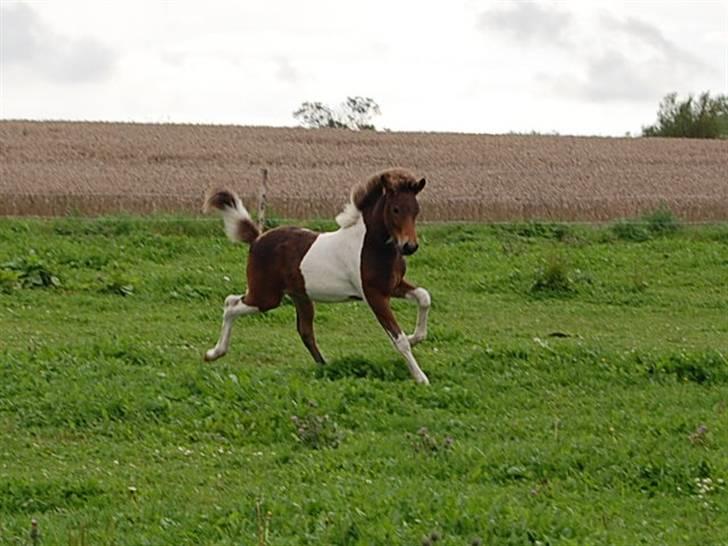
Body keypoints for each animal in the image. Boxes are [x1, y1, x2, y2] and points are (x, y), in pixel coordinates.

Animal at [203, 167, 432, 382]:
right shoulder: (374, 295)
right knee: (230, 305)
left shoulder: (393, 285)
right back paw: (213, 353)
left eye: (417, 210)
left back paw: (324, 366)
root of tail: (257, 238)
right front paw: (421, 377)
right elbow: (398, 339)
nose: (410, 246)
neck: (370, 246)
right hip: (267, 296)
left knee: (303, 330)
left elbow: (424, 297)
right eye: (395, 209)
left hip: (298, 296)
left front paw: (416, 337)